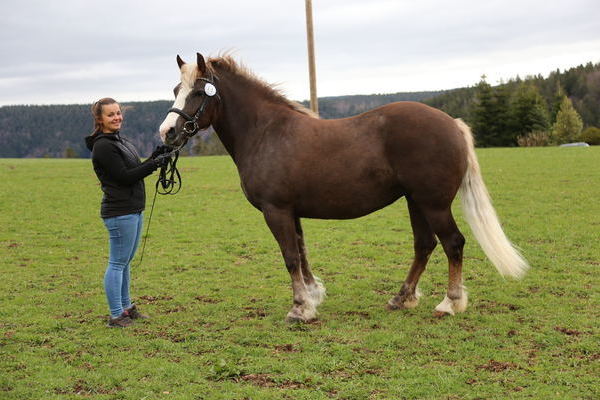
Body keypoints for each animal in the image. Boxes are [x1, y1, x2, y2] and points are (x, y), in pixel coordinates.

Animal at [157, 53, 528, 322]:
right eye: (176, 90)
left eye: (197, 92)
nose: (167, 133)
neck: (267, 132)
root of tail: (452, 123)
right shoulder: (291, 212)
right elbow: (301, 254)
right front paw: (312, 297)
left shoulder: (276, 210)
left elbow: (290, 257)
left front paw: (299, 309)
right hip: (415, 202)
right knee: (424, 245)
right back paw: (401, 298)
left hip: (433, 203)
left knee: (453, 243)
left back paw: (450, 303)